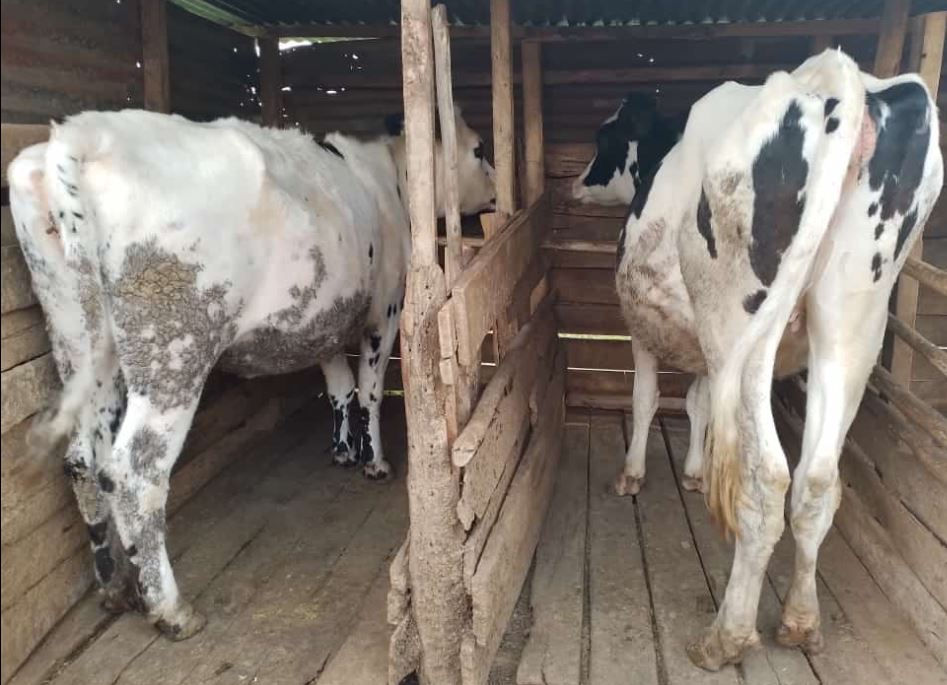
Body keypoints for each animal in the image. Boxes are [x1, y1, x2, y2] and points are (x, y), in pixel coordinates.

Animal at [7, 107, 495, 639]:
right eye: (477, 149)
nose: (494, 188)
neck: (391, 177)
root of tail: (81, 131)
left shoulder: (323, 320)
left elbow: (339, 387)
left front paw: (342, 450)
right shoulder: (383, 312)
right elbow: (368, 391)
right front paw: (375, 462)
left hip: (77, 334)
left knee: (81, 459)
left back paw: (115, 584)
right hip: (173, 345)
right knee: (134, 471)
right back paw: (170, 608)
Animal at [598, 48, 942, 669]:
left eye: (605, 138)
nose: (577, 180)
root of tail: (842, 78)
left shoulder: (644, 329)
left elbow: (646, 399)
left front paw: (633, 475)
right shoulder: (707, 353)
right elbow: (698, 404)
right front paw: (696, 472)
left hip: (745, 327)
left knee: (767, 479)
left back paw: (725, 636)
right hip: (853, 323)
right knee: (817, 479)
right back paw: (801, 622)